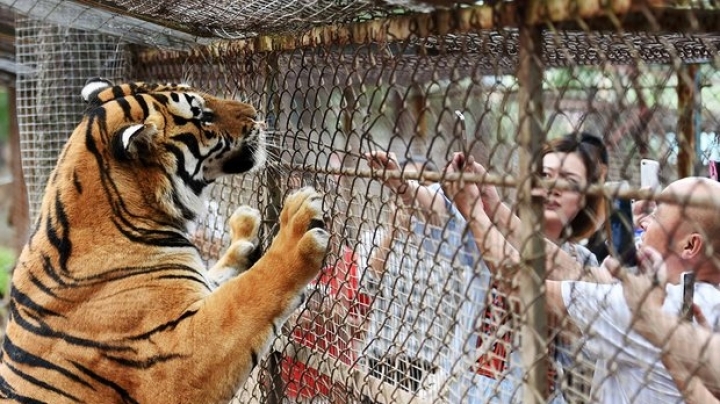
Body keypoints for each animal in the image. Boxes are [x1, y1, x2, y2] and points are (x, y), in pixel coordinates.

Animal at [0, 79, 330, 404]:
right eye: (202, 115)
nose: (255, 113)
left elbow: (222, 279)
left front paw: (243, 232)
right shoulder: (177, 362)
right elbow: (247, 293)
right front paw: (296, 225)